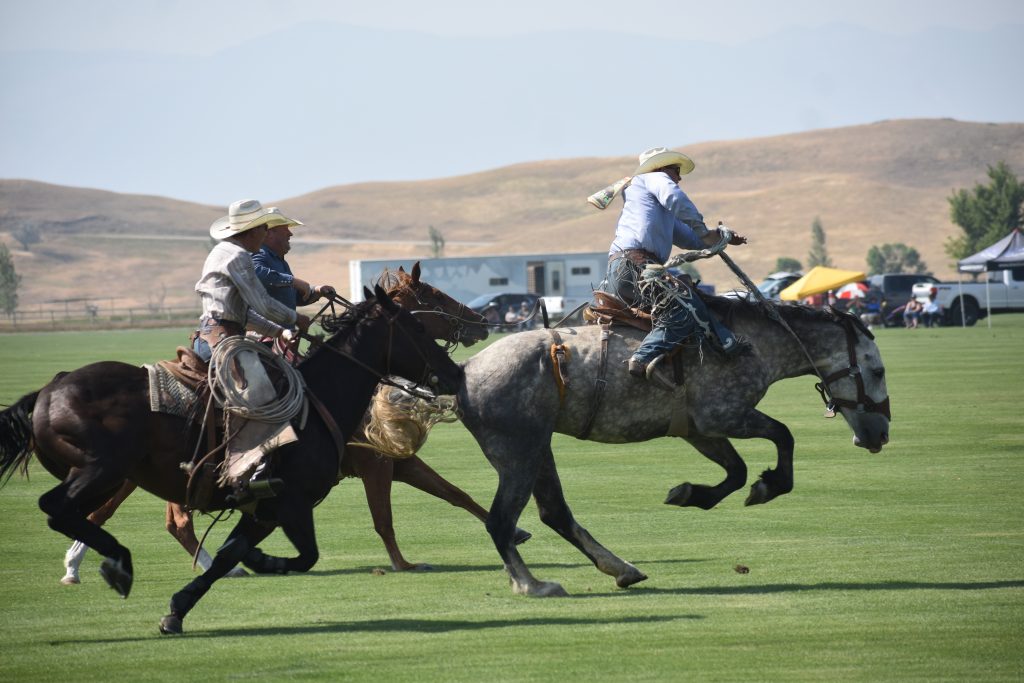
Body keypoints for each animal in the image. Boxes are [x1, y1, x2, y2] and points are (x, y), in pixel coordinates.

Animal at [0, 284, 460, 634]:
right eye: (418, 324)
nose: (455, 374)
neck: (321, 398)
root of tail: (50, 389)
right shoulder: (293, 502)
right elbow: (306, 555)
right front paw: (258, 562)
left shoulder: (264, 510)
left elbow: (229, 555)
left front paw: (177, 611)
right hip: (101, 469)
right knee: (60, 508)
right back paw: (116, 564)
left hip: (106, 475)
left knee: (79, 514)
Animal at [460, 296, 892, 593]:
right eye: (878, 370)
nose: (880, 435)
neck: (752, 343)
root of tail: (465, 369)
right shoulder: (726, 415)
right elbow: (783, 435)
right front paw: (768, 486)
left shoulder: (699, 430)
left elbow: (736, 472)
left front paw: (689, 494)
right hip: (519, 452)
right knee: (501, 520)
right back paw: (532, 584)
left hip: (539, 449)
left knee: (554, 513)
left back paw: (622, 569)